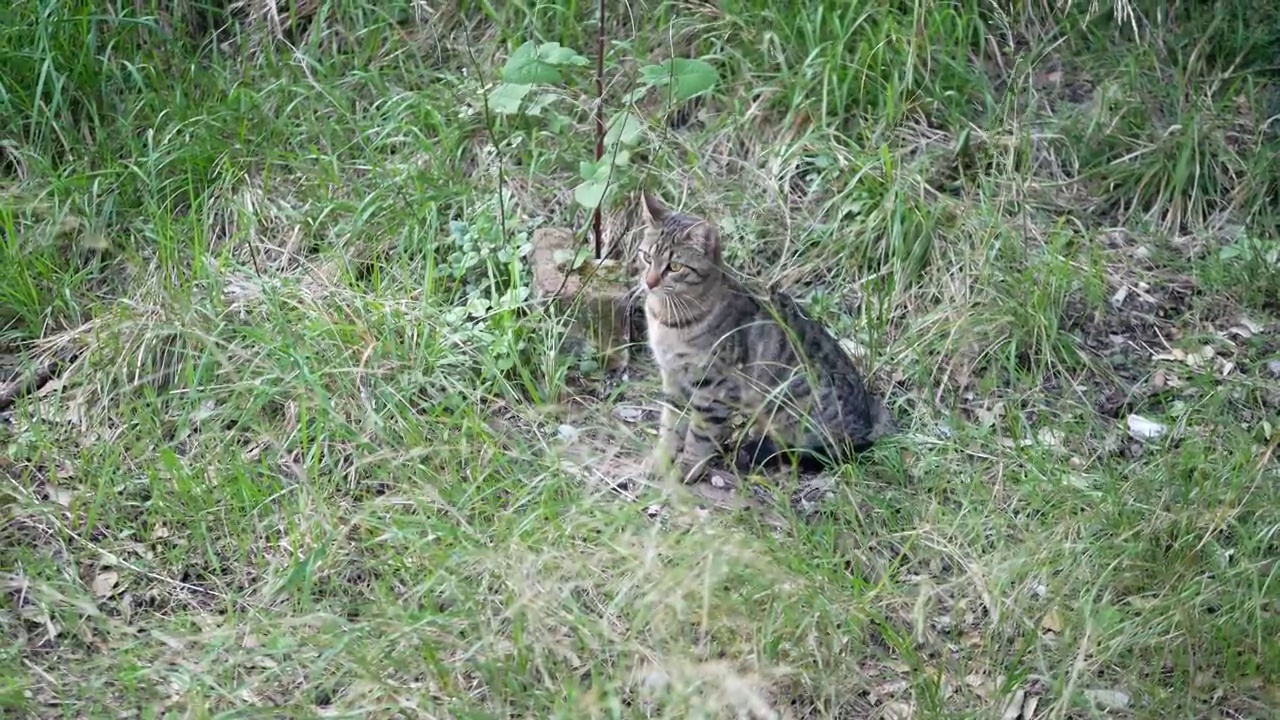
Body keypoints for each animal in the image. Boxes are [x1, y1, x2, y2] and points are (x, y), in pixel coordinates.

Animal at [637, 189, 896, 481]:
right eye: (647, 257)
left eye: (675, 267)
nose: (649, 282)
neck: (668, 320)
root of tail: (868, 421)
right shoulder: (673, 379)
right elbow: (669, 427)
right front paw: (660, 461)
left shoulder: (713, 389)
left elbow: (698, 436)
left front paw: (685, 469)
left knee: (818, 452)